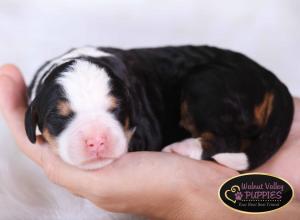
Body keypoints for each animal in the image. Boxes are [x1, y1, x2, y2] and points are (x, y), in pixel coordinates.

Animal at [25, 46, 292, 170]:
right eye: (60, 117)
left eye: (116, 110)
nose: (97, 141)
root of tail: (270, 77)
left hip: (204, 85)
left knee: (229, 139)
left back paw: (183, 148)